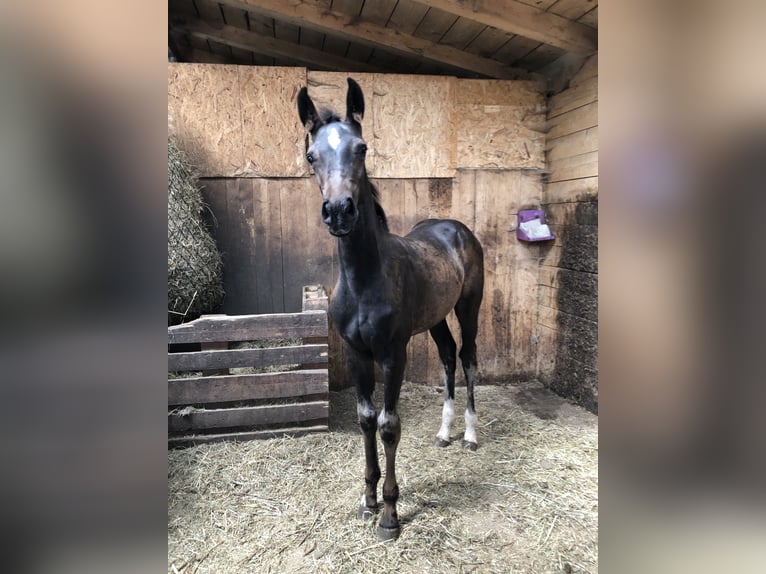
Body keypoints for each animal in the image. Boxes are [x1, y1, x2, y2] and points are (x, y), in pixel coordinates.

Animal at [296, 79, 484, 544]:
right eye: (311, 155)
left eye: (362, 148)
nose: (339, 211)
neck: (365, 279)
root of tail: (456, 229)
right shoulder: (356, 354)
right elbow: (365, 420)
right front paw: (367, 499)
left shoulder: (392, 354)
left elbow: (388, 424)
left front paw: (390, 514)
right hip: (436, 319)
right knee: (448, 357)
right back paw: (444, 433)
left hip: (468, 307)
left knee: (469, 359)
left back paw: (470, 435)